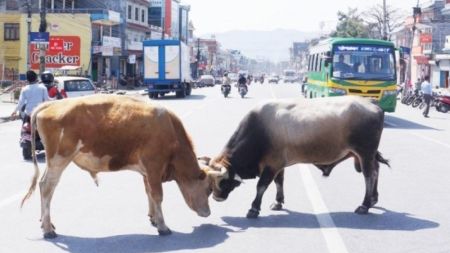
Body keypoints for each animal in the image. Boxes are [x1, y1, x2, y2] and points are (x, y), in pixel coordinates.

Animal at [22, 94, 214, 238]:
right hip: (59, 159)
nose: (208, 213)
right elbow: (158, 195)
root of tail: (50, 104)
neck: (171, 131)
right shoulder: (154, 166)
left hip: (53, 161)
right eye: (208, 189)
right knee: (47, 187)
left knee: (43, 185)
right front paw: (163, 226)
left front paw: (153, 217)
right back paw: (48, 229)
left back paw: (46, 224)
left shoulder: (147, 172)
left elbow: (149, 193)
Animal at [204, 96, 390, 218]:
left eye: (222, 180)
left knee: (369, 175)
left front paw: (254, 209)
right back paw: (373, 199)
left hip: (365, 154)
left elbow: (261, 186)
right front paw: (278, 202)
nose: (217, 198)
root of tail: (371, 102)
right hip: (365, 155)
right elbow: (279, 182)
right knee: (377, 169)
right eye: (210, 181)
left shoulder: (271, 166)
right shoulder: (278, 165)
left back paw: (364, 205)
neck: (258, 131)